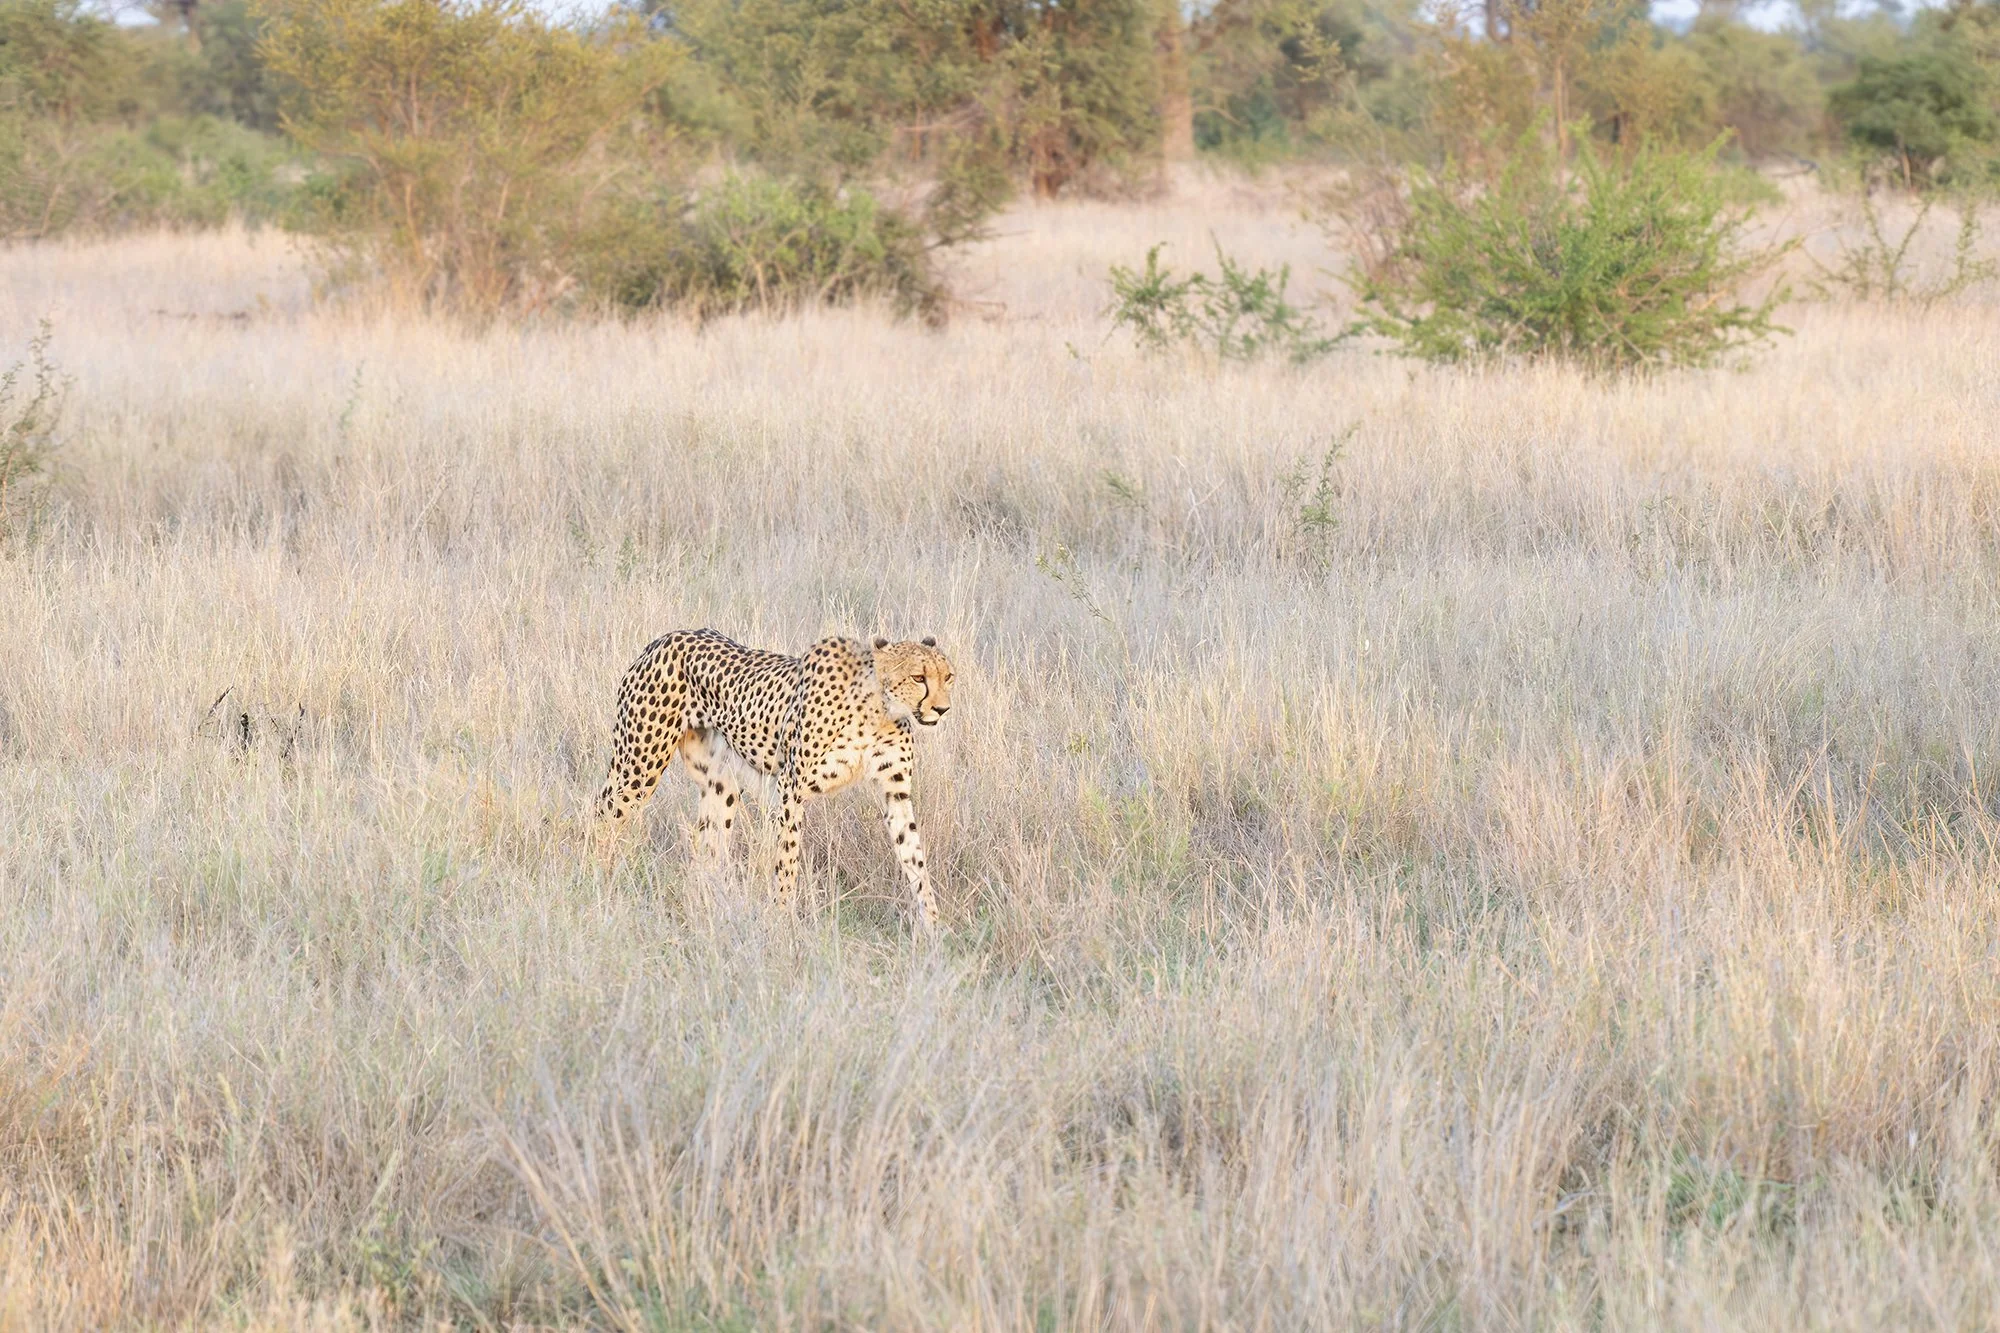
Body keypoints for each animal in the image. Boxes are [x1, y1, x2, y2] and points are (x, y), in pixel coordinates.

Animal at [593, 628, 956, 931]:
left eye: (948, 676)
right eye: (919, 677)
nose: (942, 710)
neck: (879, 710)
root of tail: (667, 637)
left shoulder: (895, 792)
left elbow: (914, 857)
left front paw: (933, 926)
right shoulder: (791, 788)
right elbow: (787, 857)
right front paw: (782, 917)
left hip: (721, 785)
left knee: (708, 849)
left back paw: (710, 905)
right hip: (639, 765)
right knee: (601, 815)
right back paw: (597, 882)